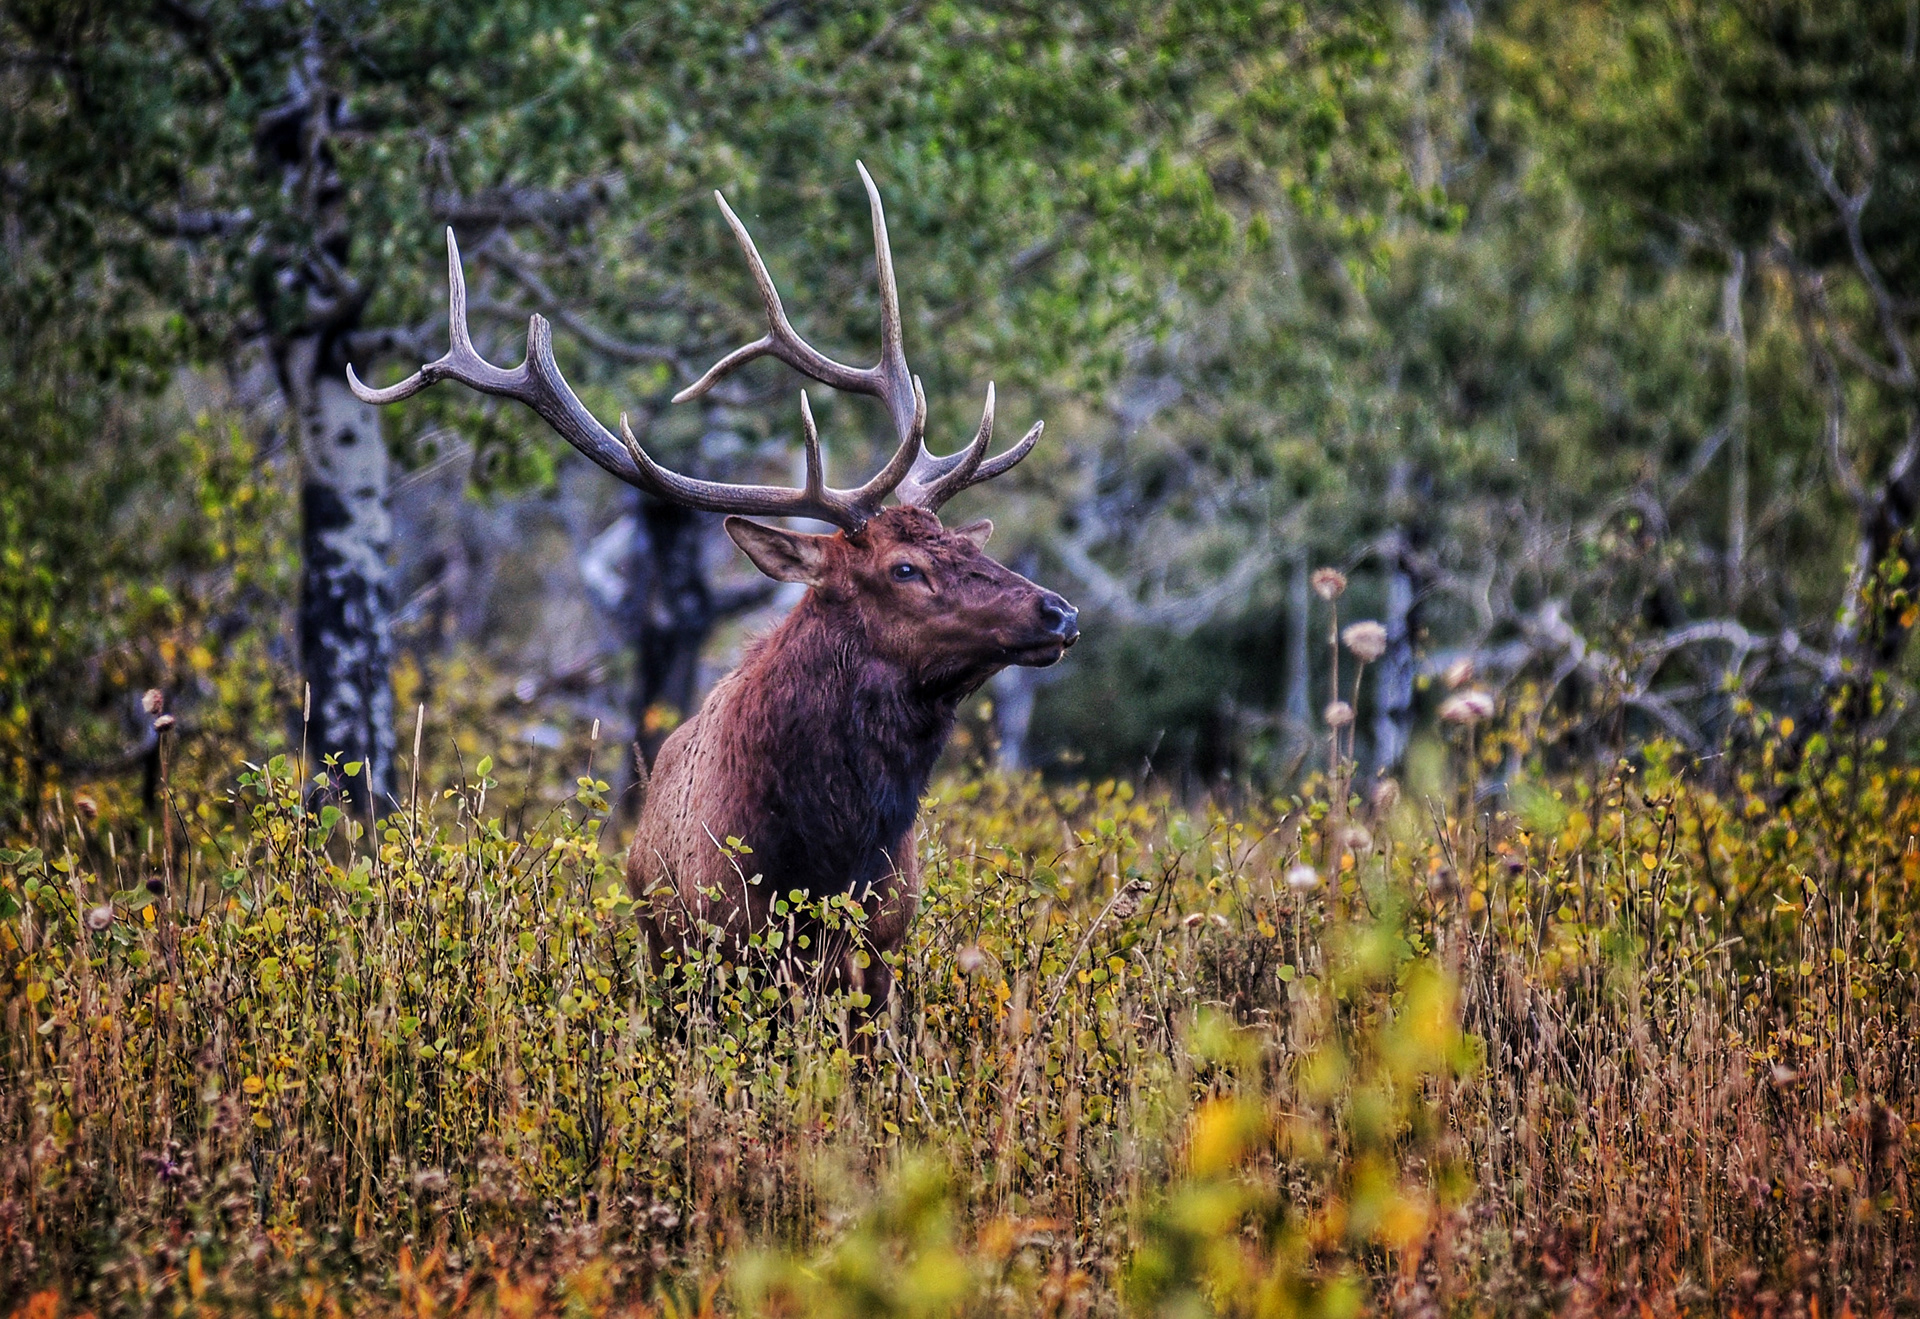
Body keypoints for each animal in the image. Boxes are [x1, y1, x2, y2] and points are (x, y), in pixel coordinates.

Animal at [350, 164, 1078, 1016]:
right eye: (903, 568)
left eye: (965, 543)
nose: (1059, 609)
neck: (820, 861)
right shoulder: (720, 954)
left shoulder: (879, 960)